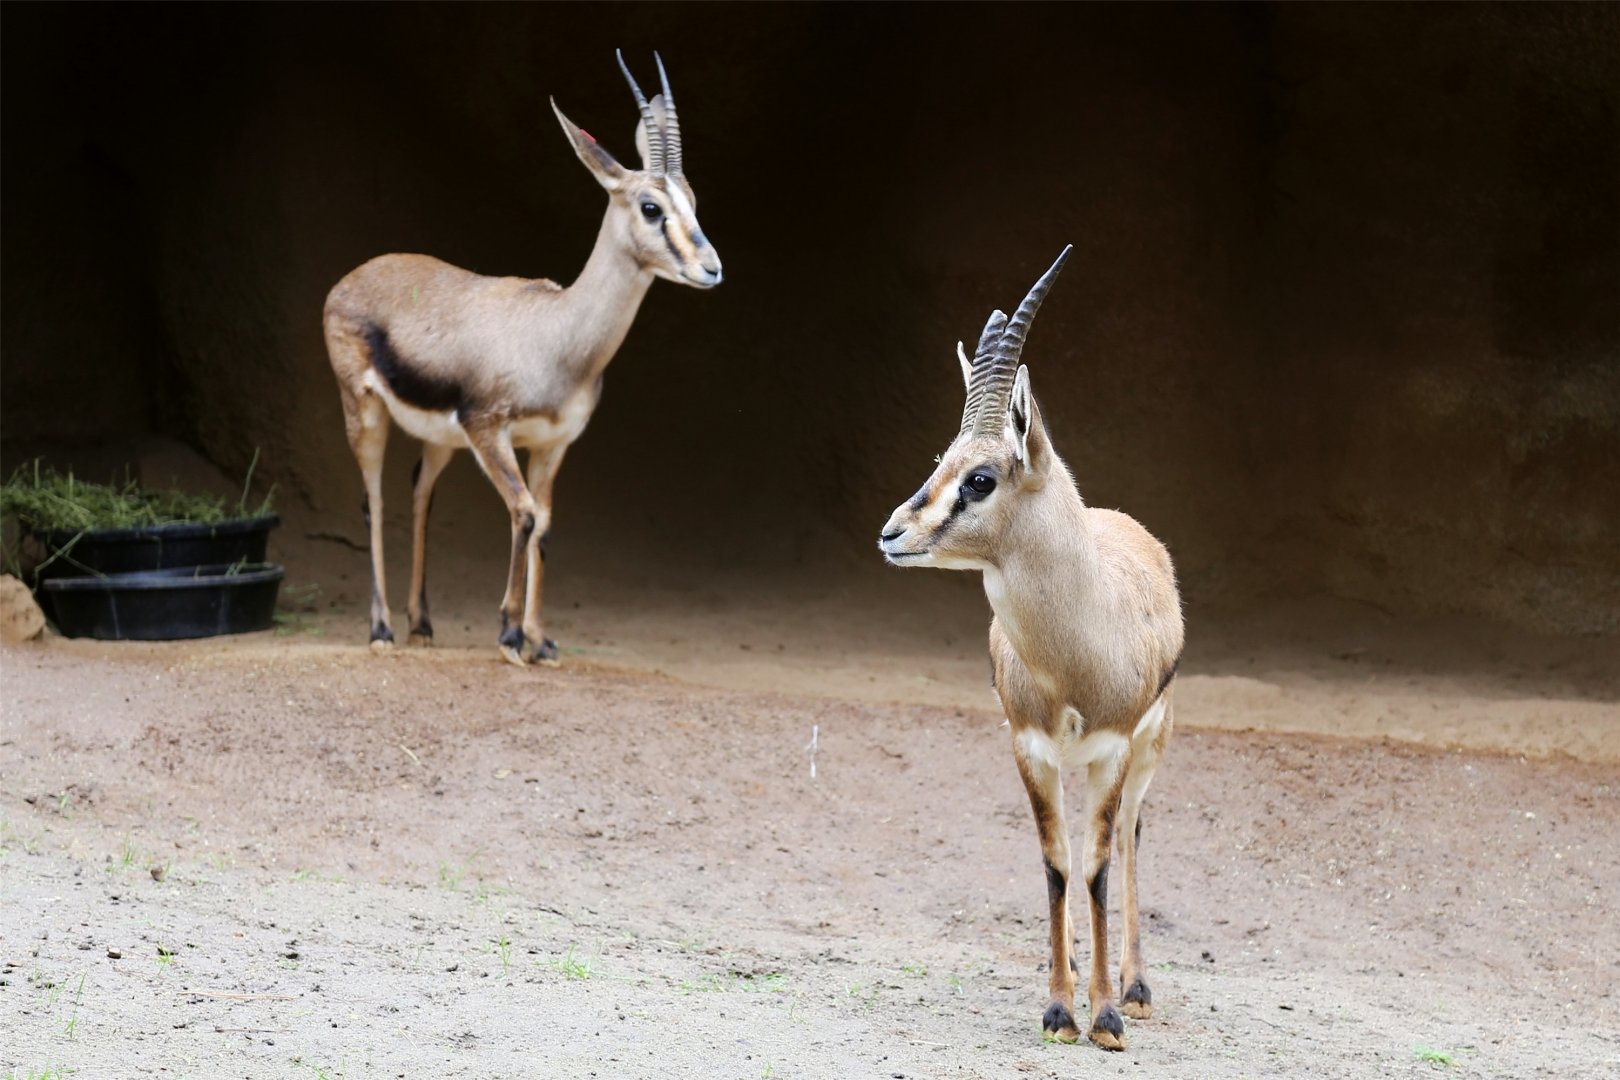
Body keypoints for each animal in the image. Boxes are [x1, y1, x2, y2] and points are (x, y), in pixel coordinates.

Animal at [323, 51, 721, 666]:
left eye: (693, 201)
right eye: (650, 206)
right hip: (364, 412)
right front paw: (511, 637)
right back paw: (382, 629)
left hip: (441, 440)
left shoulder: (552, 444)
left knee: (419, 491)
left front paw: (539, 639)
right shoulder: (489, 430)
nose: (711, 268)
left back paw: (422, 625)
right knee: (375, 497)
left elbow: (546, 525)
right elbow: (525, 512)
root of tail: (351, 278)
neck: (556, 336)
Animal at [878, 247, 1183, 1051]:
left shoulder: (1111, 751)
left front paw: (1105, 1017)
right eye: (943, 460)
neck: (1078, 647)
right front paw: (1058, 1008)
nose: (892, 534)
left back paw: (1136, 988)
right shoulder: (1030, 750)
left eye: (982, 478)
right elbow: (1055, 866)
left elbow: (1099, 868)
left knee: (1130, 837)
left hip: (1150, 751)